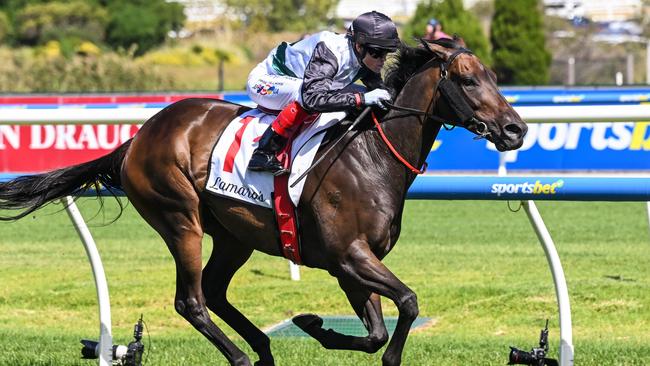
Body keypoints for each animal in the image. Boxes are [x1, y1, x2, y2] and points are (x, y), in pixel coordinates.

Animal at [0, 38, 524, 364]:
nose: (516, 129)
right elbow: (409, 303)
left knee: (214, 291)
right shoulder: (349, 255)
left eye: (493, 76)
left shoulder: (351, 263)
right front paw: (317, 325)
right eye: (468, 80)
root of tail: (137, 137)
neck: (371, 155)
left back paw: (262, 348)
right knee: (191, 301)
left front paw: (313, 324)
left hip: (234, 236)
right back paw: (240, 356)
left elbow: (377, 331)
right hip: (180, 219)